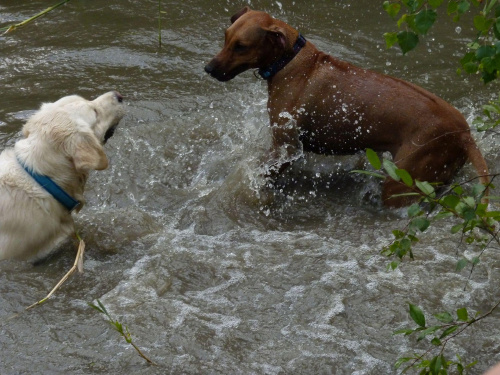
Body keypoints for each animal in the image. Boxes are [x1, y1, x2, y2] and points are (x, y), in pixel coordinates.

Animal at [204, 5, 488, 207]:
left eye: (241, 47)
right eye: (226, 37)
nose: (208, 68)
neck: (290, 61)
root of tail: (463, 132)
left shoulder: (285, 147)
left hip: (403, 180)